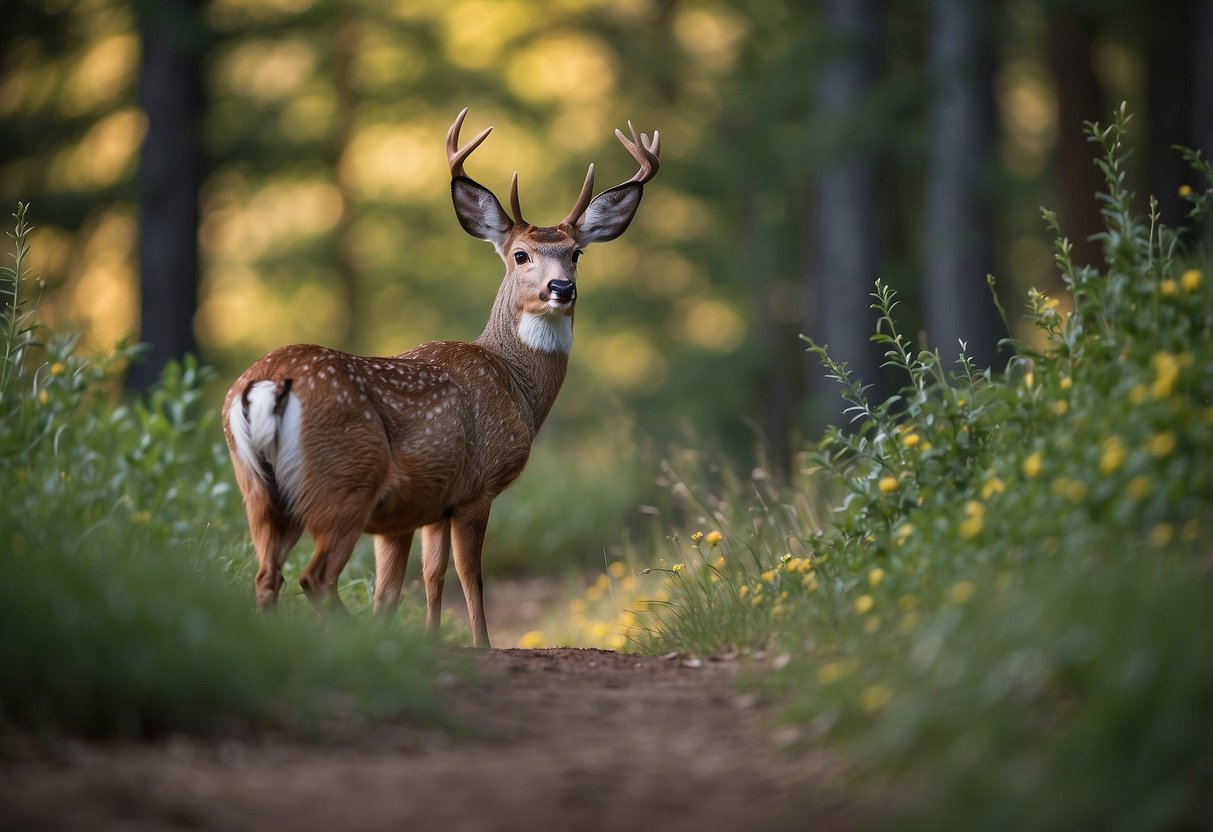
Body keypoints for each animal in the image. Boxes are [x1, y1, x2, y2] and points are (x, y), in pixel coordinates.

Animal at [225, 107, 664, 650]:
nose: (562, 287)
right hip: (345, 483)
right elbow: (468, 576)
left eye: (576, 253)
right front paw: (480, 645)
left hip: (261, 494)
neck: (515, 386)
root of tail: (265, 384)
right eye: (520, 254)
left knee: (267, 576)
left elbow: (419, 580)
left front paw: (430, 641)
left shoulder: (425, 506)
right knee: (314, 576)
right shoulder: (477, 488)